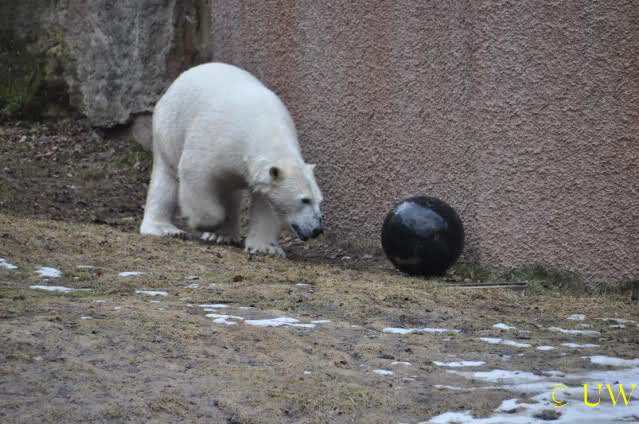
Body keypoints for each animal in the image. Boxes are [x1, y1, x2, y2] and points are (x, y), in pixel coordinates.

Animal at [140, 62, 324, 257]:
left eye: (319, 200)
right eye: (305, 200)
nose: (317, 229)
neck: (263, 128)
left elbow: (267, 204)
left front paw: (266, 248)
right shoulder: (214, 139)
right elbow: (195, 174)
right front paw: (204, 224)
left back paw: (223, 235)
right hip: (170, 127)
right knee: (167, 177)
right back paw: (165, 229)